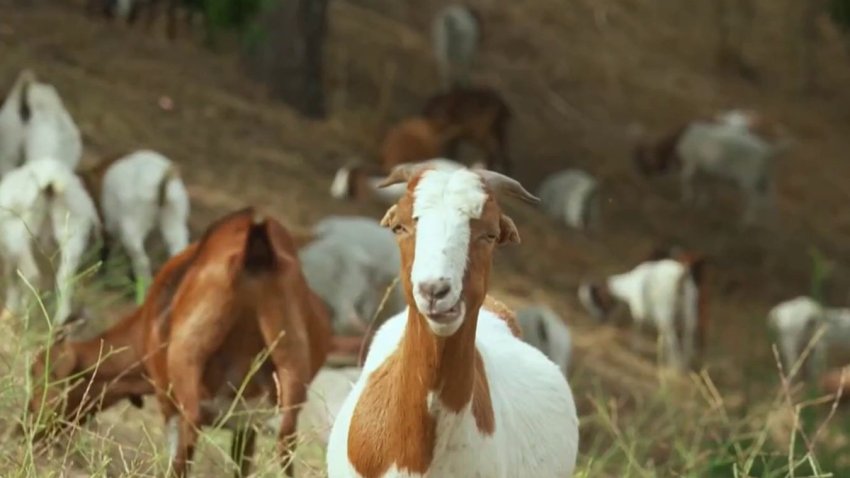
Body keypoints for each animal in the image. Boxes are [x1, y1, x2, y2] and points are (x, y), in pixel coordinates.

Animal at [0, 158, 100, 325]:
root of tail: (49, 182)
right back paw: (59, 318)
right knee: (64, 278)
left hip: (22, 235)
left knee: (32, 275)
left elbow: (11, 275)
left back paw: (27, 314)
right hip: (71, 233)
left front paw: (12, 308)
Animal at [79, 150, 190, 303]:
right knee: (176, 251)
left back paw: (142, 291)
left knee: (142, 260)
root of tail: (160, 179)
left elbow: (106, 249)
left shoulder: (106, 224)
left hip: (134, 222)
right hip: (175, 217)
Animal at [578, 253, 708, 372]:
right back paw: (684, 365)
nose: (597, 320)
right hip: (690, 308)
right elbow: (662, 337)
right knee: (688, 334)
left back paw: (675, 366)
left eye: (596, 300)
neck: (629, 286)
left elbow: (637, 329)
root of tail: (680, 276)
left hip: (665, 309)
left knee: (671, 335)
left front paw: (635, 350)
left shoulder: (638, 312)